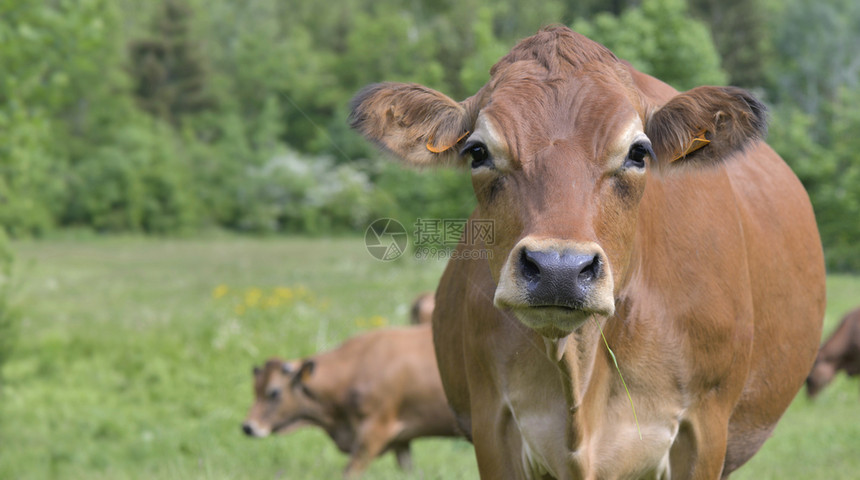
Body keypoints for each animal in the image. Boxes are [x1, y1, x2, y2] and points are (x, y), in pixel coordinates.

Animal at [239, 324, 460, 478]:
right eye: (255, 389)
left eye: (274, 392)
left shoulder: (373, 432)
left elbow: (349, 472)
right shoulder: (401, 440)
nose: (248, 427)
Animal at [352, 25, 828, 480]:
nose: (557, 269)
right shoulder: (494, 424)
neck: (579, 371)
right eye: (478, 151)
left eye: (639, 152)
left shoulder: (704, 431)